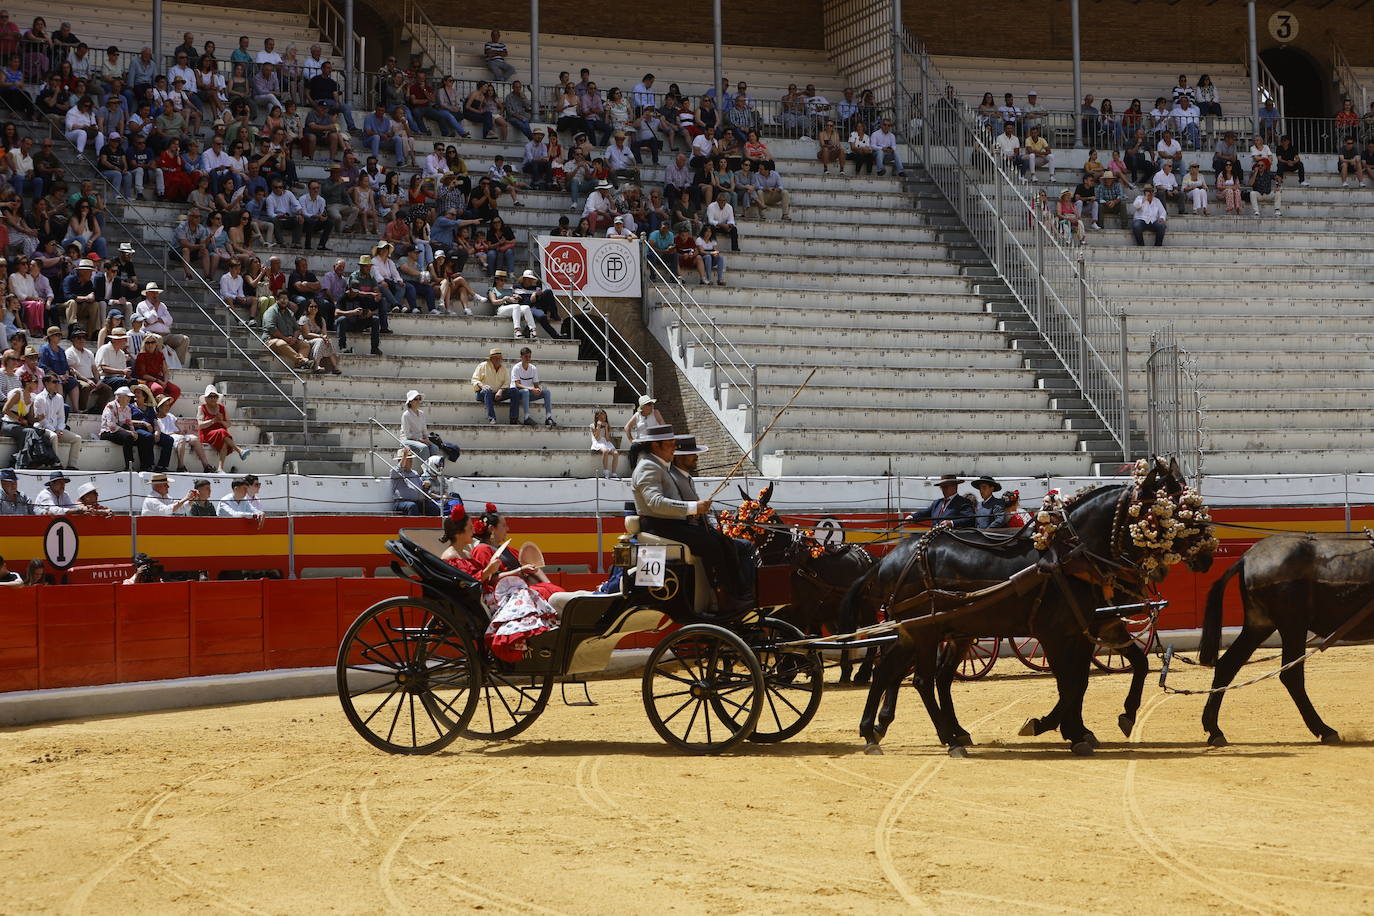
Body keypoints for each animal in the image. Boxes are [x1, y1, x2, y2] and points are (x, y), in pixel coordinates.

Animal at [1198, 532, 1374, 747]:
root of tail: (1247, 557)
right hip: (1293, 626)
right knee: (1291, 675)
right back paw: (1324, 730)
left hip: (1259, 625)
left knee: (1227, 665)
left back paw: (1214, 730)